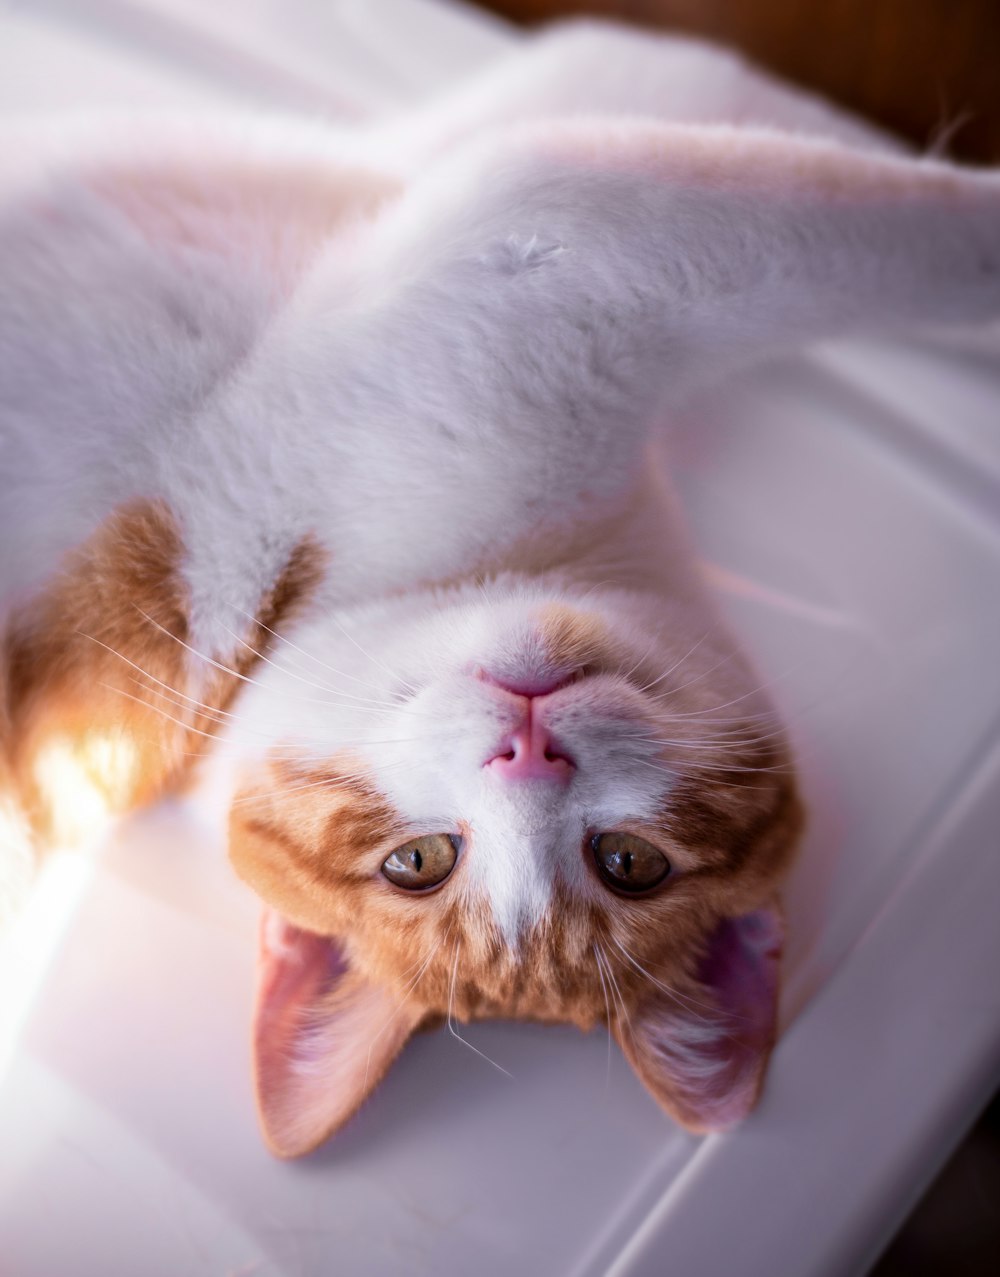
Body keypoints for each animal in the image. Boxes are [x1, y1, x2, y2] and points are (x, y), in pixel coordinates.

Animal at [1, 19, 1000, 1159]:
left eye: (628, 860)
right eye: (420, 861)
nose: (528, 749)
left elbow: (708, 101)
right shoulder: (558, 239)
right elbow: (843, 200)